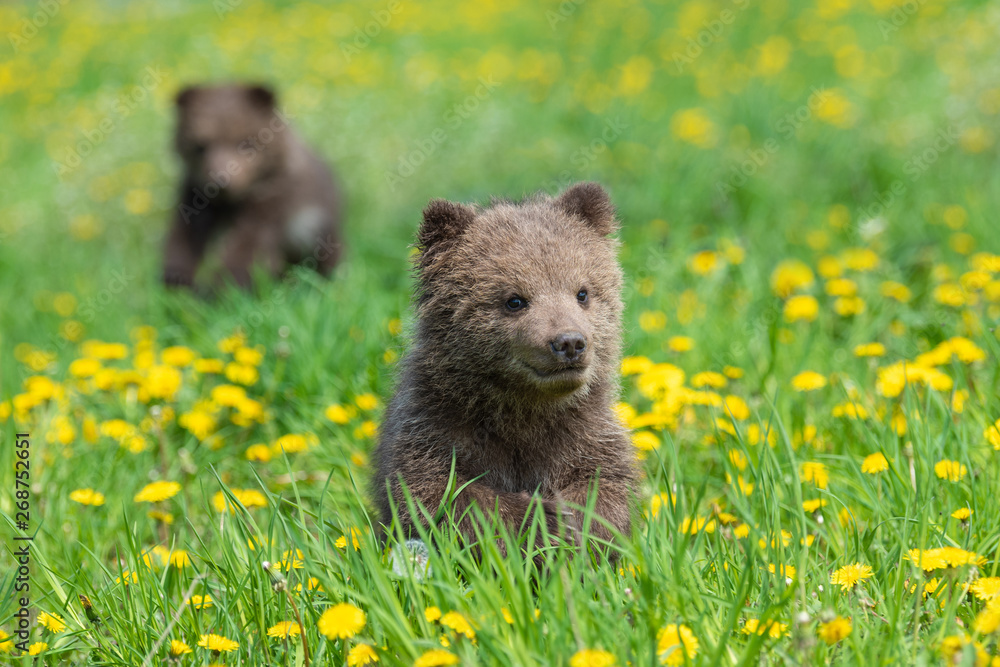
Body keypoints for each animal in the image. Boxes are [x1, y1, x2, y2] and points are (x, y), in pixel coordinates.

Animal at [163, 84, 343, 289]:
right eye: (200, 145)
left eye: (244, 143)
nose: (221, 181)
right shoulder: (196, 196)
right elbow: (187, 232)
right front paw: (176, 278)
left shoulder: (272, 200)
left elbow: (248, 245)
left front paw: (222, 288)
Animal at [372, 182, 636, 557]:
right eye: (514, 300)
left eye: (583, 292)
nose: (569, 342)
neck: (521, 409)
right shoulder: (433, 430)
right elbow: (441, 498)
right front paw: (542, 520)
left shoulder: (586, 435)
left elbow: (604, 491)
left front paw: (573, 522)